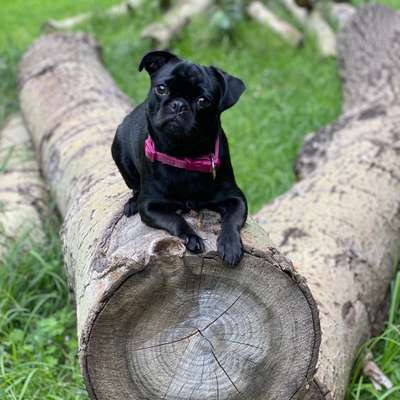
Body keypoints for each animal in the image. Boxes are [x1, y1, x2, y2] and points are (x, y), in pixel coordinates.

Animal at [111, 51, 247, 268]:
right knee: (134, 186)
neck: (184, 156)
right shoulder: (150, 206)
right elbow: (175, 219)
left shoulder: (236, 197)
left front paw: (230, 244)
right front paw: (191, 237)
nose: (179, 105)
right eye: (161, 89)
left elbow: (232, 219)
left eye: (202, 100)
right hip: (120, 152)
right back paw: (131, 203)